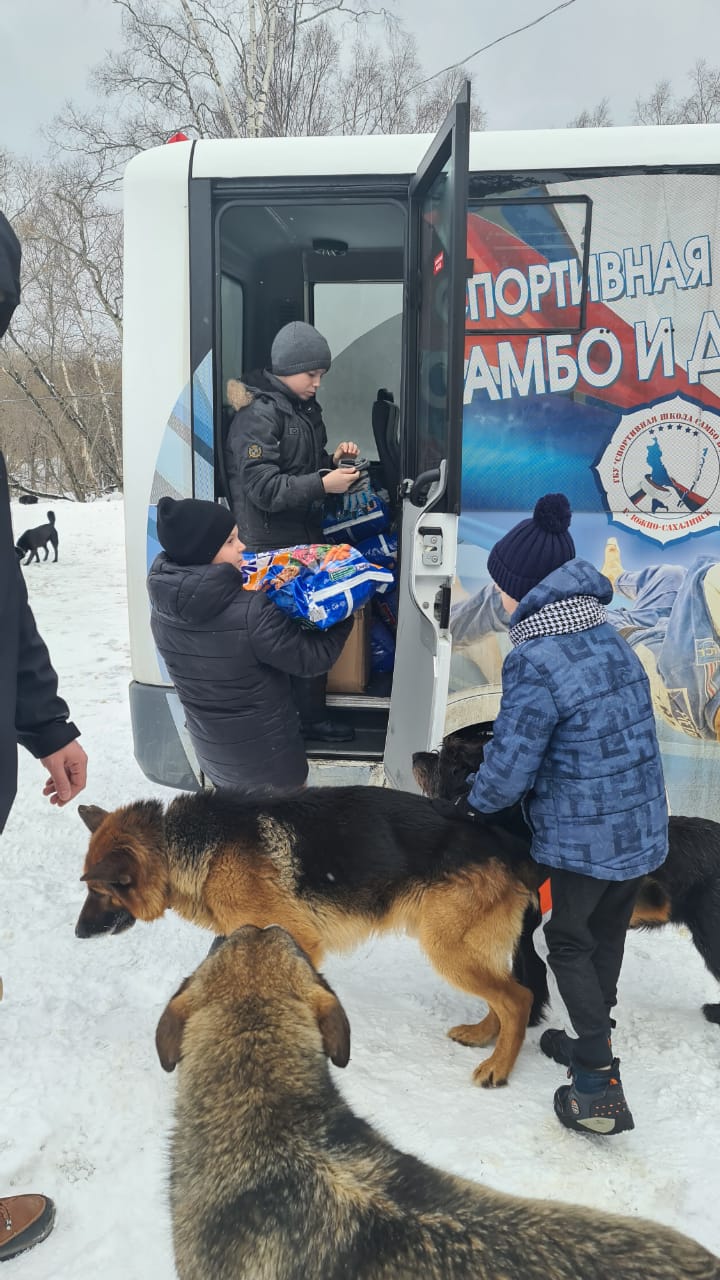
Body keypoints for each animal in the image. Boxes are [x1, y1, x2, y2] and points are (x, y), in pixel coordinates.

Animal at [78, 783, 538, 1085]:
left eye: (97, 890)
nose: (79, 933)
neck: (178, 848)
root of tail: (505, 842)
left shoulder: (297, 938)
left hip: (446, 948)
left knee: (519, 998)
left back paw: (499, 1067)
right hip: (465, 948)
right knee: (503, 995)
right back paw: (483, 1035)